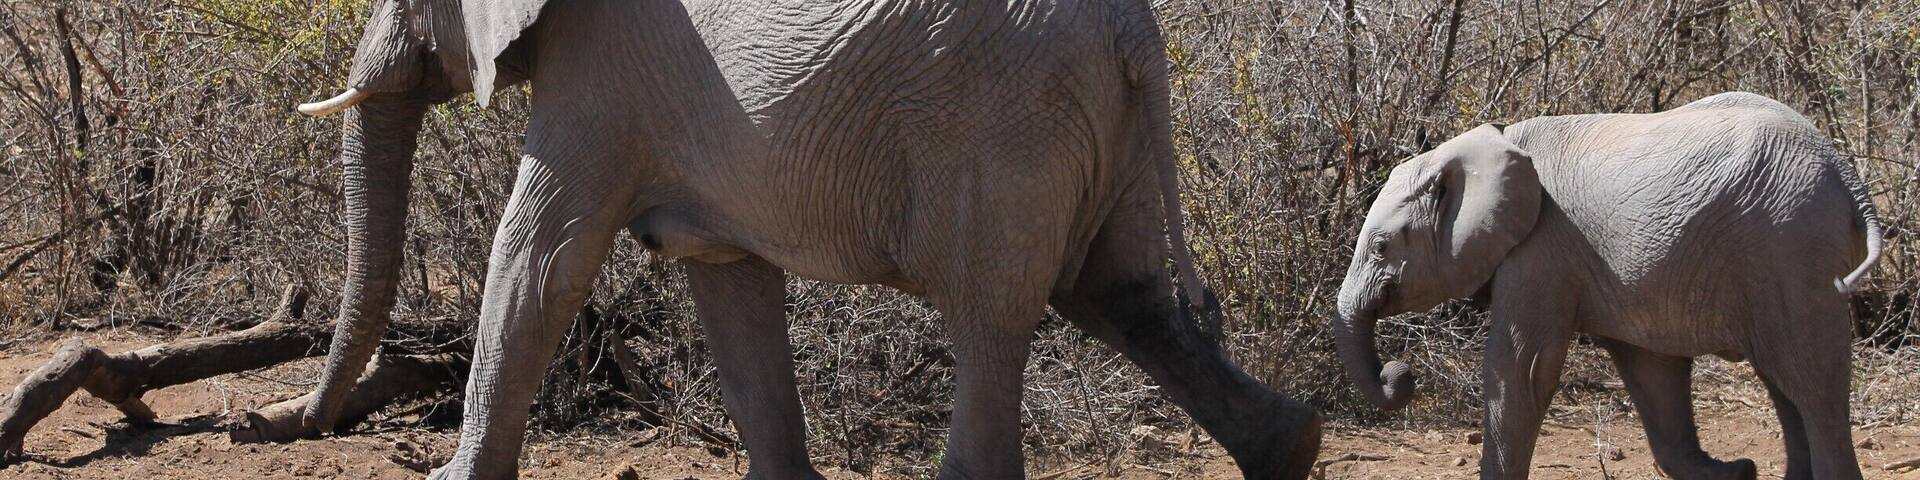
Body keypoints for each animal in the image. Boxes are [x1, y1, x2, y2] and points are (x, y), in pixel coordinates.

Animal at [290, 0, 1324, 478]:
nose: (283, 420)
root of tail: (1133, 28)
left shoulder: (601, 72)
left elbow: (539, 256)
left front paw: (450, 476)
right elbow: (725, 278)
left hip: (1009, 131)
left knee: (993, 321)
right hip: (1105, 125)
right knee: (1126, 299)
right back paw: (1291, 449)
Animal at [1331, 92, 1883, 480]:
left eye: (1380, 248)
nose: (1400, 375)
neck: (1487, 143)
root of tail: (1846, 173)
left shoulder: (1542, 248)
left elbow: (1522, 371)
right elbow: (1652, 372)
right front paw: (1735, 473)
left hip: (1792, 247)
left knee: (1811, 382)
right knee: (1784, 383)